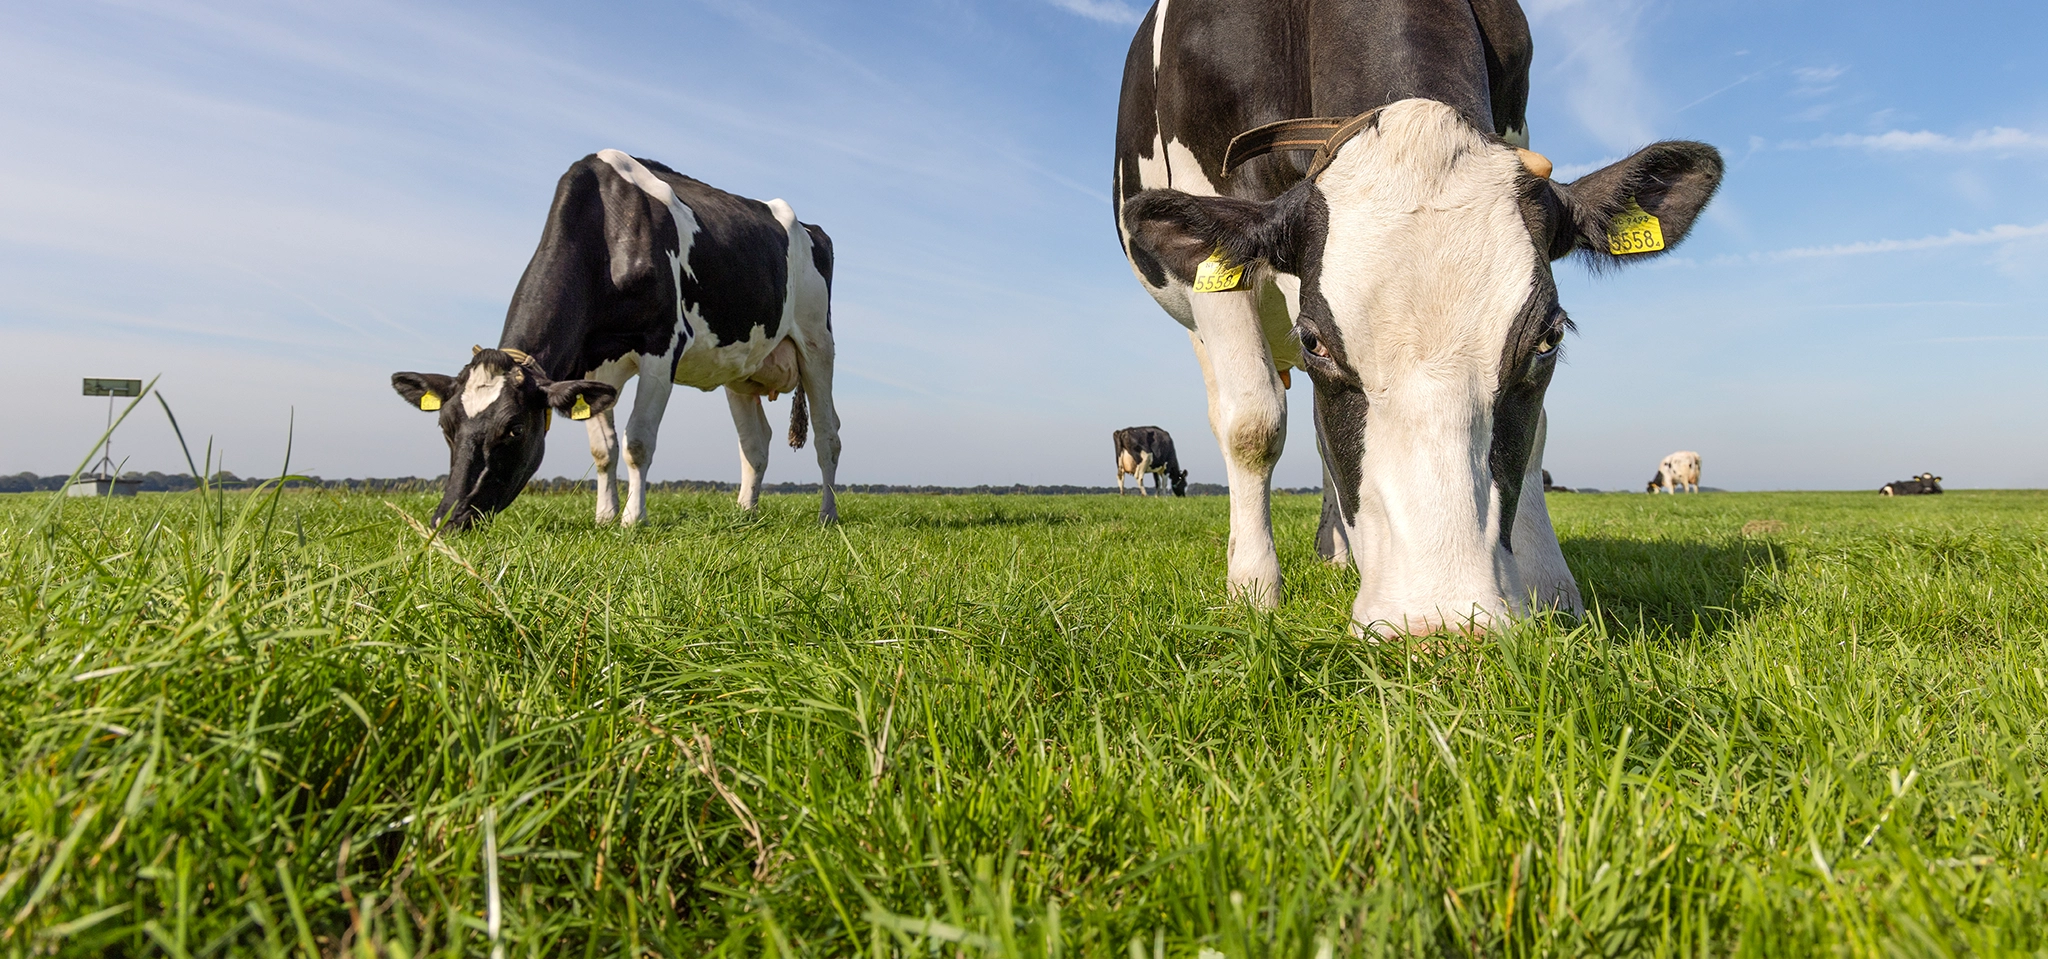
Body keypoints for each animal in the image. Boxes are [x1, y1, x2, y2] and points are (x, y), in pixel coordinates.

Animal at [391, 150, 840, 531]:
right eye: (446, 426)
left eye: (514, 429)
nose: (446, 522)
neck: (606, 229)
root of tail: (810, 227)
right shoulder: (592, 365)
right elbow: (602, 448)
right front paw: (604, 516)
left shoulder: (662, 344)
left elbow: (637, 440)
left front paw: (632, 519)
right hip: (741, 368)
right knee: (754, 444)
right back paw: (745, 514)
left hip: (817, 343)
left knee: (827, 435)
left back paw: (827, 516)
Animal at [1113, 0, 1723, 634]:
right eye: (1315, 342)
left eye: (1548, 339)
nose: (1442, 627)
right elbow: (1253, 424)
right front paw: (1253, 592)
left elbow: (1537, 433)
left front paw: (1552, 589)